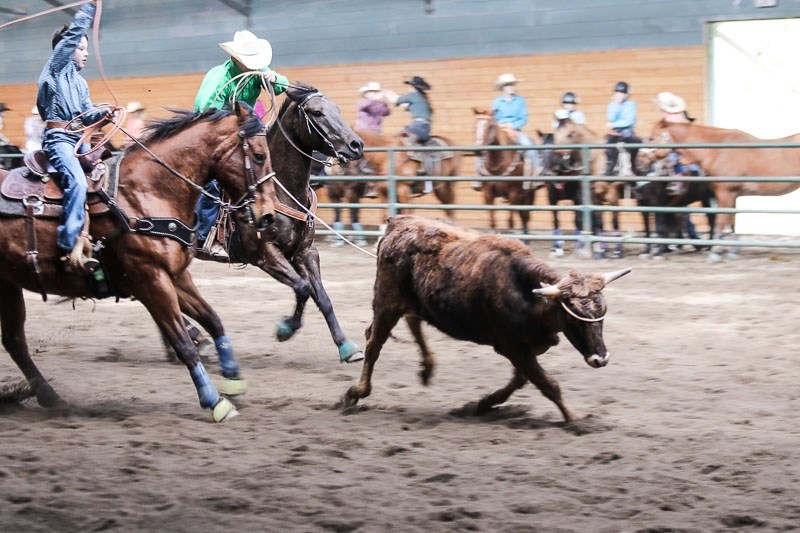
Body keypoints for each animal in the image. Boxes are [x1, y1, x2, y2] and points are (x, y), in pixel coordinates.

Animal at [0, 102, 278, 422]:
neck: (149, 191)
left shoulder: (176, 277)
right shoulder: (150, 280)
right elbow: (183, 343)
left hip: (8, 284)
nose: (268, 216)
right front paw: (215, 402)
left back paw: (50, 396)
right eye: (259, 155)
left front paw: (233, 382)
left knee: (14, 341)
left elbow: (214, 321)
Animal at [648, 120, 800, 262]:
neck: (717, 151)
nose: (644, 159)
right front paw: (733, 252)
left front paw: (715, 252)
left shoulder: (725, 193)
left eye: (651, 138)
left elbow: (720, 221)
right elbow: (731, 222)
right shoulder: (732, 195)